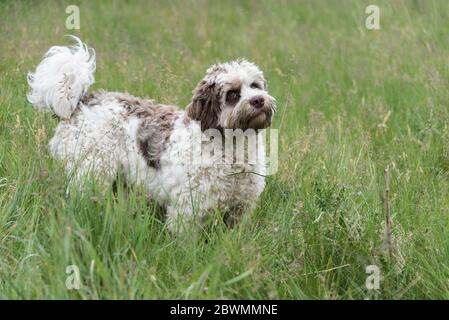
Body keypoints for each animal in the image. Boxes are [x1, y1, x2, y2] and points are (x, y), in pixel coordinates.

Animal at [28, 37, 274, 232]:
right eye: (232, 94)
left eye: (255, 85)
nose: (259, 100)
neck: (232, 149)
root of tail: (81, 102)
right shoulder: (187, 209)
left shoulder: (240, 208)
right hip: (90, 173)